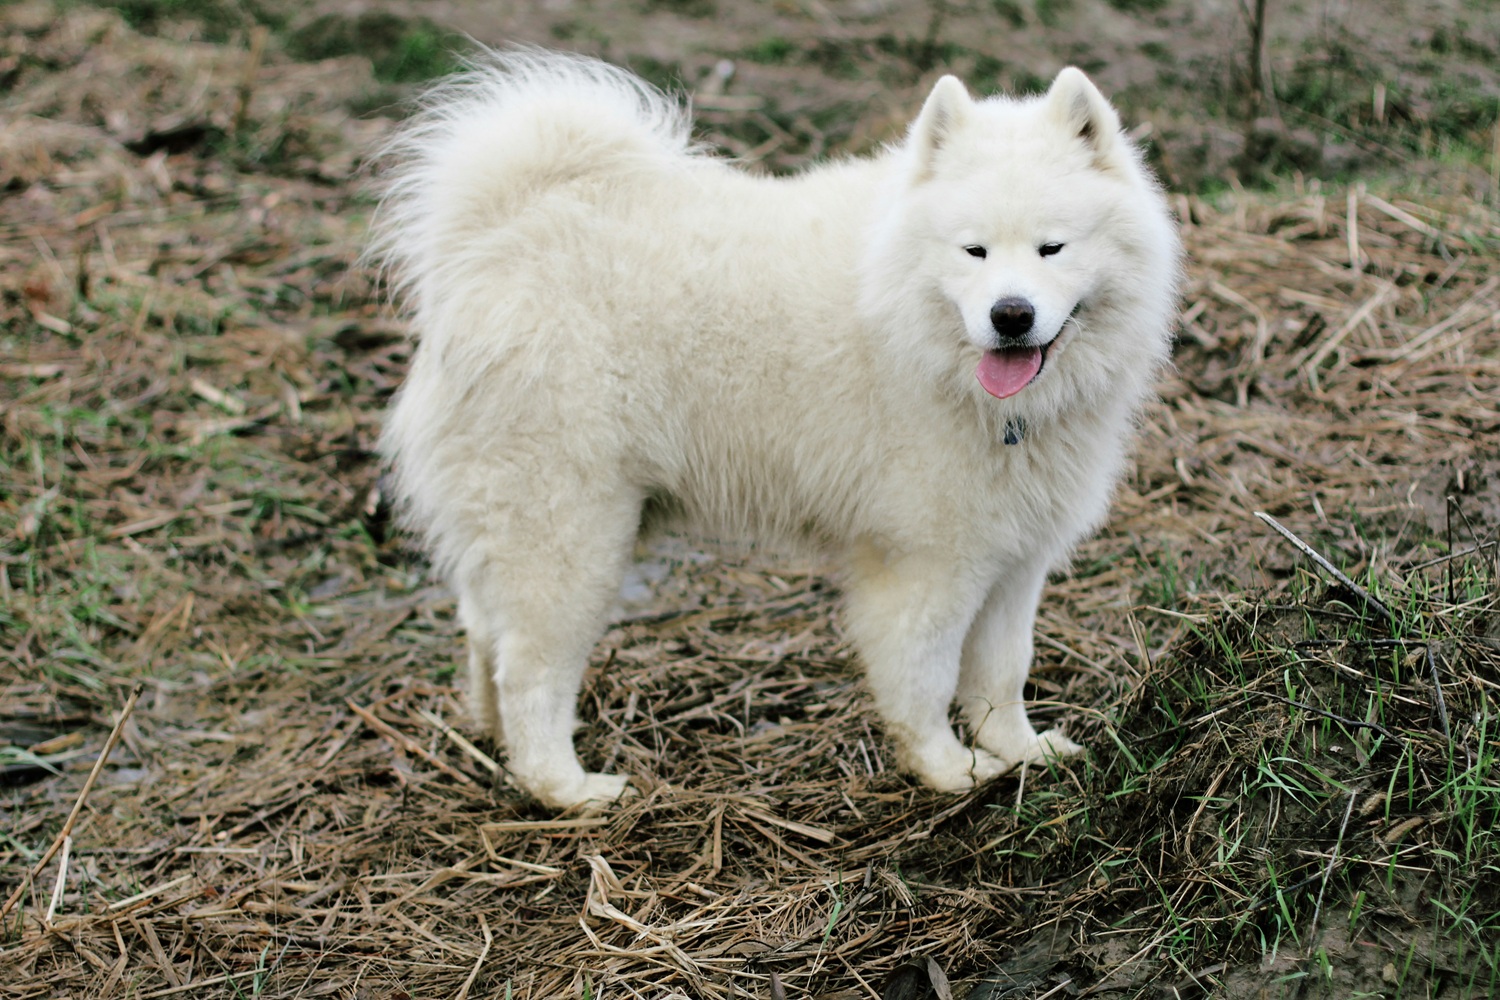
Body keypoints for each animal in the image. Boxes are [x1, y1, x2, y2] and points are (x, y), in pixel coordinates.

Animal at [375, 48, 1182, 815]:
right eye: (973, 251)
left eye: (1052, 248)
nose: (1010, 315)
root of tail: (494, 242)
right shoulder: (926, 563)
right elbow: (923, 678)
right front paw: (949, 769)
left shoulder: (1012, 557)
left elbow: (1002, 673)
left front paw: (1019, 752)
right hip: (572, 538)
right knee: (529, 670)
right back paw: (565, 787)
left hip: (512, 525)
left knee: (484, 634)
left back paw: (492, 740)